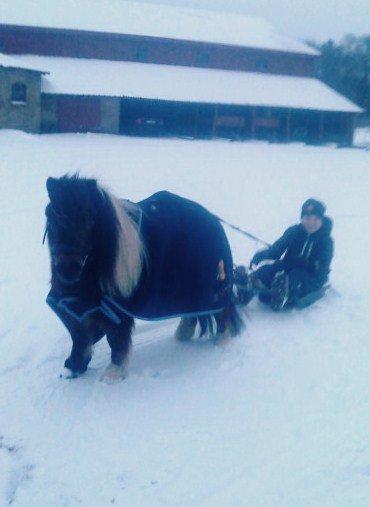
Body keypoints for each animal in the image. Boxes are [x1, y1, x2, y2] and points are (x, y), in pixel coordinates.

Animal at [45, 175, 243, 380]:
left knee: (222, 313)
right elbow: (79, 337)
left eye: (90, 219)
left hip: (211, 291)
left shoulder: (116, 310)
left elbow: (116, 339)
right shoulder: (76, 309)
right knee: (193, 314)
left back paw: (222, 341)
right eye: (52, 216)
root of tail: (214, 221)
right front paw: (73, 367)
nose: (68, 270)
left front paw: (113, 374)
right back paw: (182, 335)